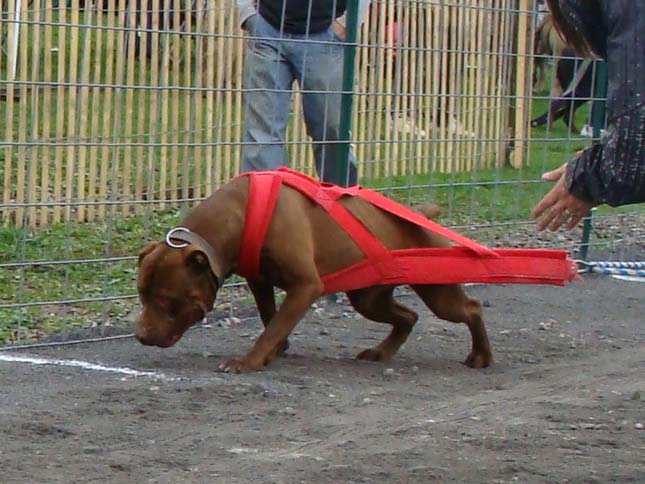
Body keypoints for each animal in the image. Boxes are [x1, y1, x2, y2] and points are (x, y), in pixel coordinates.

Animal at [133, 176, 490, 372]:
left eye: (166, 300)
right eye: (140, 295)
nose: (139, 336)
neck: (238, 216)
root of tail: (418, 214)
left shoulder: (305, 286)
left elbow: (273, 327)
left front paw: (249, 361)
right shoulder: (259, 281)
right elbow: (270, 318)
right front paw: (275, 351)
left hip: (438, 291)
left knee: (471, 308)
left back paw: (481, 356)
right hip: (369, 297)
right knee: (408, 316)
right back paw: (381, 352)